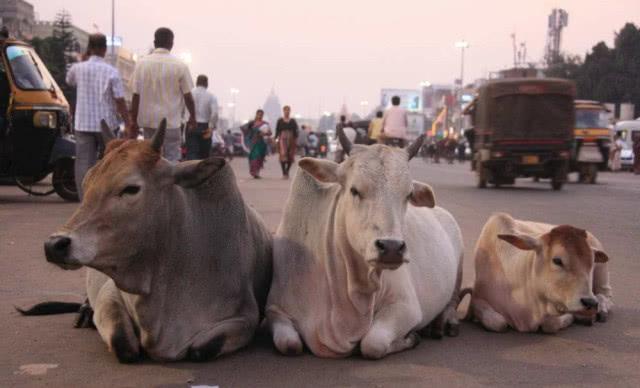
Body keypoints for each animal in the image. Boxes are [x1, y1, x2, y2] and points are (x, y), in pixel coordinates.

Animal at [21, 121, 272, 364]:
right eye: (86, 183)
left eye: (131, 188)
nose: (54, 245)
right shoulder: (110, 293)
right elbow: (123, 345)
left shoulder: (245, 317)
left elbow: (201, 350)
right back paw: (84, 313)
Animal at [266, 132, 464, 360]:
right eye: (354, 190)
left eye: (408, 195)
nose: (392, 248)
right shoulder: (275, 309)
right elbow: (289, 344)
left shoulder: (406, 306)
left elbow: (372, 344)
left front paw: (411, 337)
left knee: (452, 300)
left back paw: (445, 322)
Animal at [462, 212, 612, 334]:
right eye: (557, 260)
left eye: (592, 262)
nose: (590, 303)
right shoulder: (478, 299)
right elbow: (498, 323)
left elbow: (550, 324)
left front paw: (572, 317)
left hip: (602, 274)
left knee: (606, 295)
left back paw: (601, 309)